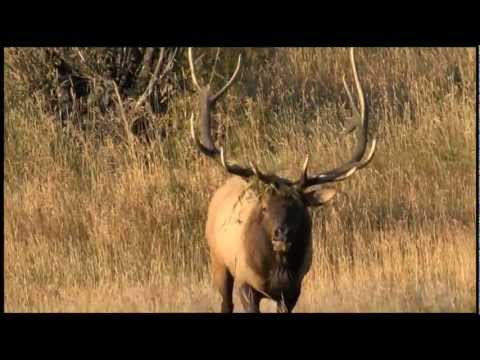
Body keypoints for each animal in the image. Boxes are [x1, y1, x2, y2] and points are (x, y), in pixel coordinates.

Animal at [189, 47, 376, 312]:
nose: (281, 235)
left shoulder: (294, 289)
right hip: (218, 259)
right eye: (264, 208)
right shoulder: (246, 281)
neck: (277, 273)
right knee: (225, 301)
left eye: (298, 208)